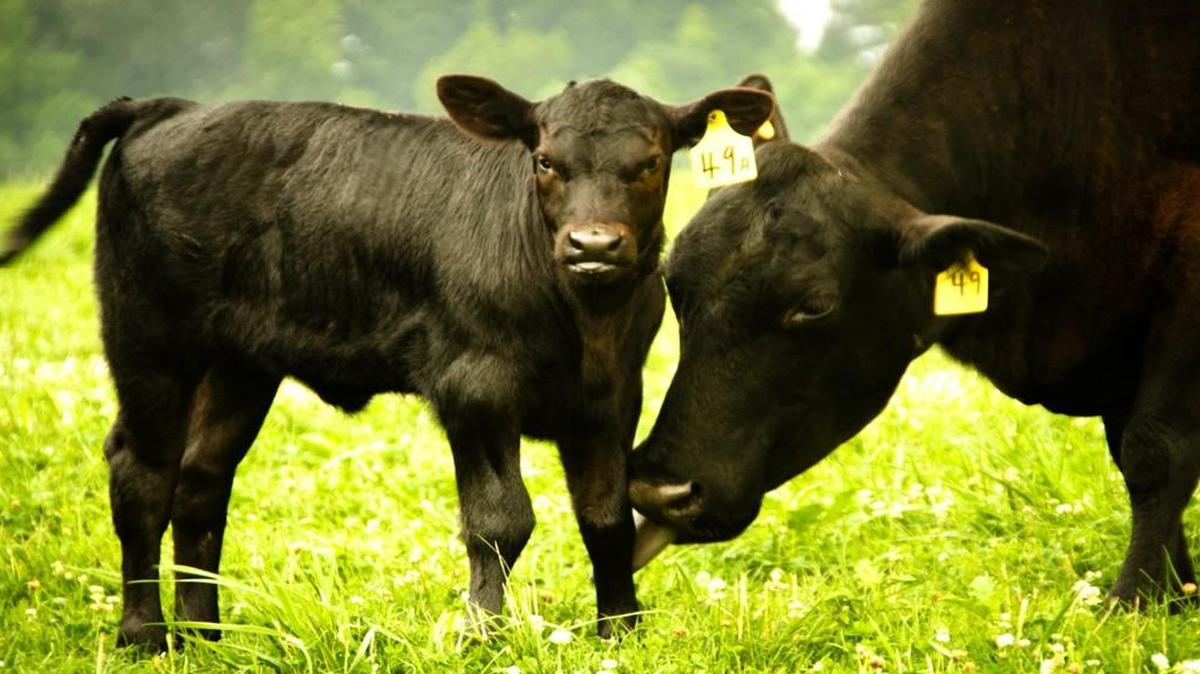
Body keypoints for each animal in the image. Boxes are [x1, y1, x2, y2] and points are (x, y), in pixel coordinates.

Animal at [1, 76, 774, 650]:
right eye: (546, 161)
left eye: (649, 163)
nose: (593, 245)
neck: (587, 323)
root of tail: (171, 108)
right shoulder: (474, 388)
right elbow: (501, 520)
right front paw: (483, 637)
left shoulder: (612, 400)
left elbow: (605, 517)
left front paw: (620, 631)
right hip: (147, 342)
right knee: (143, 473)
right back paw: (145, 634)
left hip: (238, 365)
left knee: (200, 480)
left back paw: (207, 634)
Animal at [629, 0, 1200, 609]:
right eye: (673, 282)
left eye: (814, 306)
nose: (659, 493)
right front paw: (1177, 593)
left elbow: (1153, 451)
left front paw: (1136, 598)